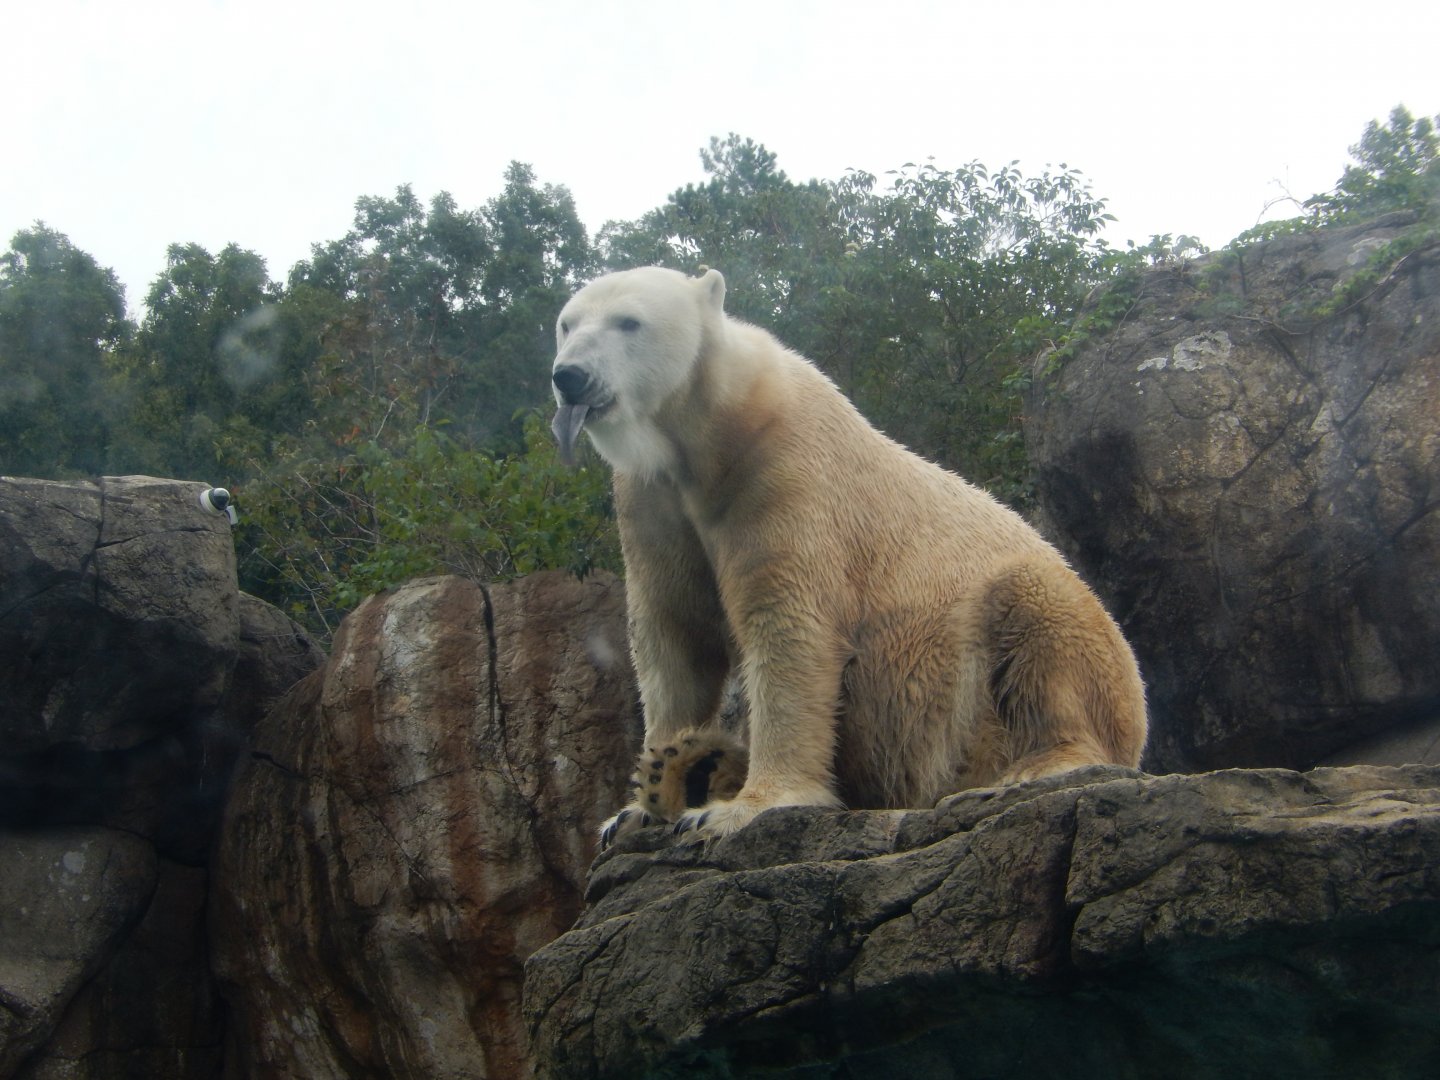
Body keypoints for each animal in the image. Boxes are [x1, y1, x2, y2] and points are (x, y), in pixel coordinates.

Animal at [549, 266, 1147, 841]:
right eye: (566, 323)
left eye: (629, 322)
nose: (568, 376)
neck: (712, 431)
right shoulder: (653, 501)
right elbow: (673, 636)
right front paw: (637, 803)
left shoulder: (785, 474)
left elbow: (790, 629)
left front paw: (738, 808)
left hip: (1020, 682)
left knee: (1039, 612)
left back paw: (1039, 763)